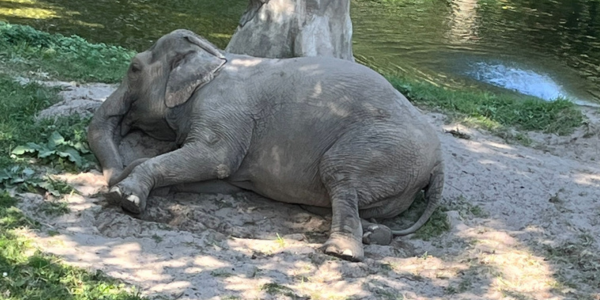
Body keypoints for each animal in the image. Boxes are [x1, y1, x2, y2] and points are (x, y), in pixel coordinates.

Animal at [86, 29, 442, 262]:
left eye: (134, 68)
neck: (214, 57)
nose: (112, 177)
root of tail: (439, 162)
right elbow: (217, 177)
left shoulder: (224, 111)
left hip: (381, 148)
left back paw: (341, 252)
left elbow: (215, 159)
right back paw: (374, 234)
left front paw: (124, 197)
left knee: (339, 175)